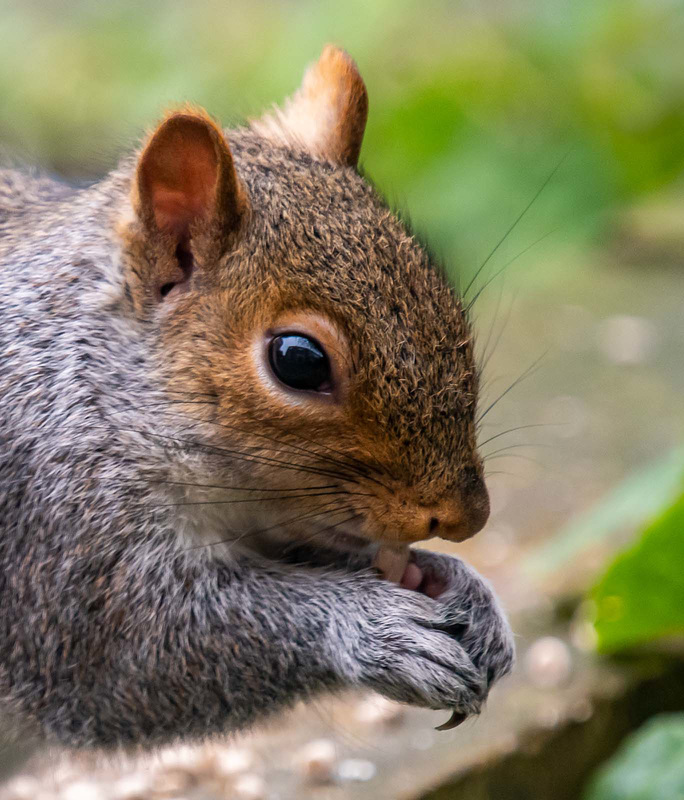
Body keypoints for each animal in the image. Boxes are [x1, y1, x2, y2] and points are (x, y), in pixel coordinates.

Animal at [0, 45, 512, 752]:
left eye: (448, 303)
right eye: (298, 361)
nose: (467, 517)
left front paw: (467, 592)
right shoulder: (56, 530)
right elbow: (134, 664)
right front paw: (374, 626)